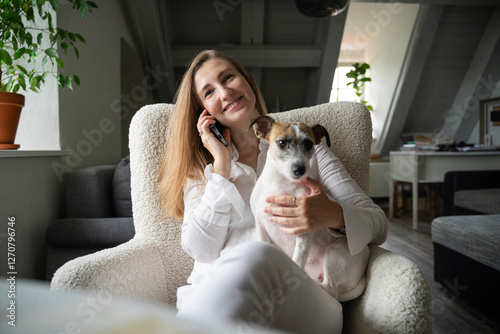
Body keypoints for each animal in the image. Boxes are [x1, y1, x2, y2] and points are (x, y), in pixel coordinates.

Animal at [250, 116, 372, 302]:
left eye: (308, 144)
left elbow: (297, 260)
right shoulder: (261, 226)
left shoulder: (303, 234)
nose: (299, 169)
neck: (280, 185)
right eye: (282, 142)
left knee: (329, 289)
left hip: (335, 253)